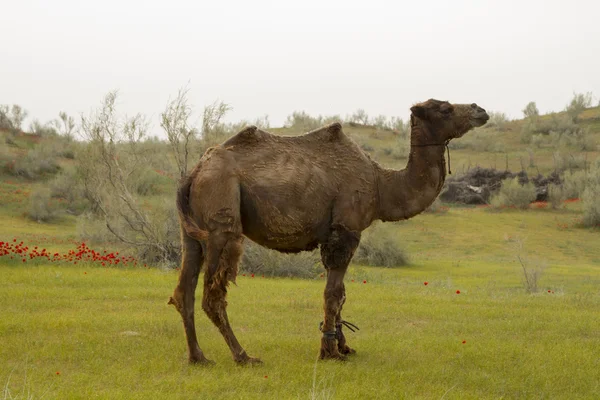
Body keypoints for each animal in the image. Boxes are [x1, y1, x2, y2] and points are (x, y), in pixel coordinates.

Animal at [168, 98, 488, 364]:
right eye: (445, 108)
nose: (480, 110)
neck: (381, 183)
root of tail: (194, 173)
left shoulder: (336, 234)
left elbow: (342, 293)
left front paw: (344, 346)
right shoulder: (346, 229)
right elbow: (333, 293)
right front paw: (330, 352)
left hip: (192, 231)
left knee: (185, 289)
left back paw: (198, 357)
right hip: (222, 211)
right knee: (213, 294)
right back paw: (243, 356)